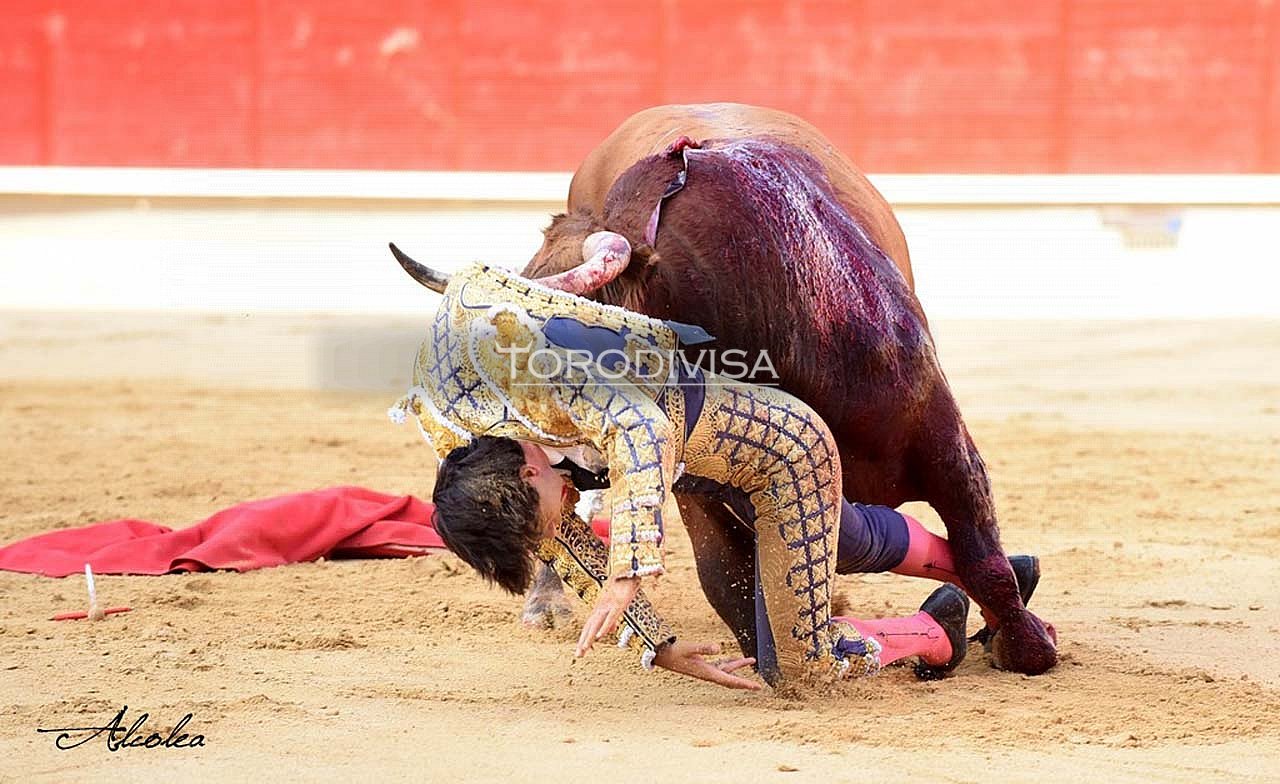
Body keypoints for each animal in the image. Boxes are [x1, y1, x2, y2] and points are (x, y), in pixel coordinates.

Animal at [513, 103, 1055, 676]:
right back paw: (546, 603)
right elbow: (741, 584)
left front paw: (1024, 639)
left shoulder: (944, 442)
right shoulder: (705, 491)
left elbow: (979, 555)